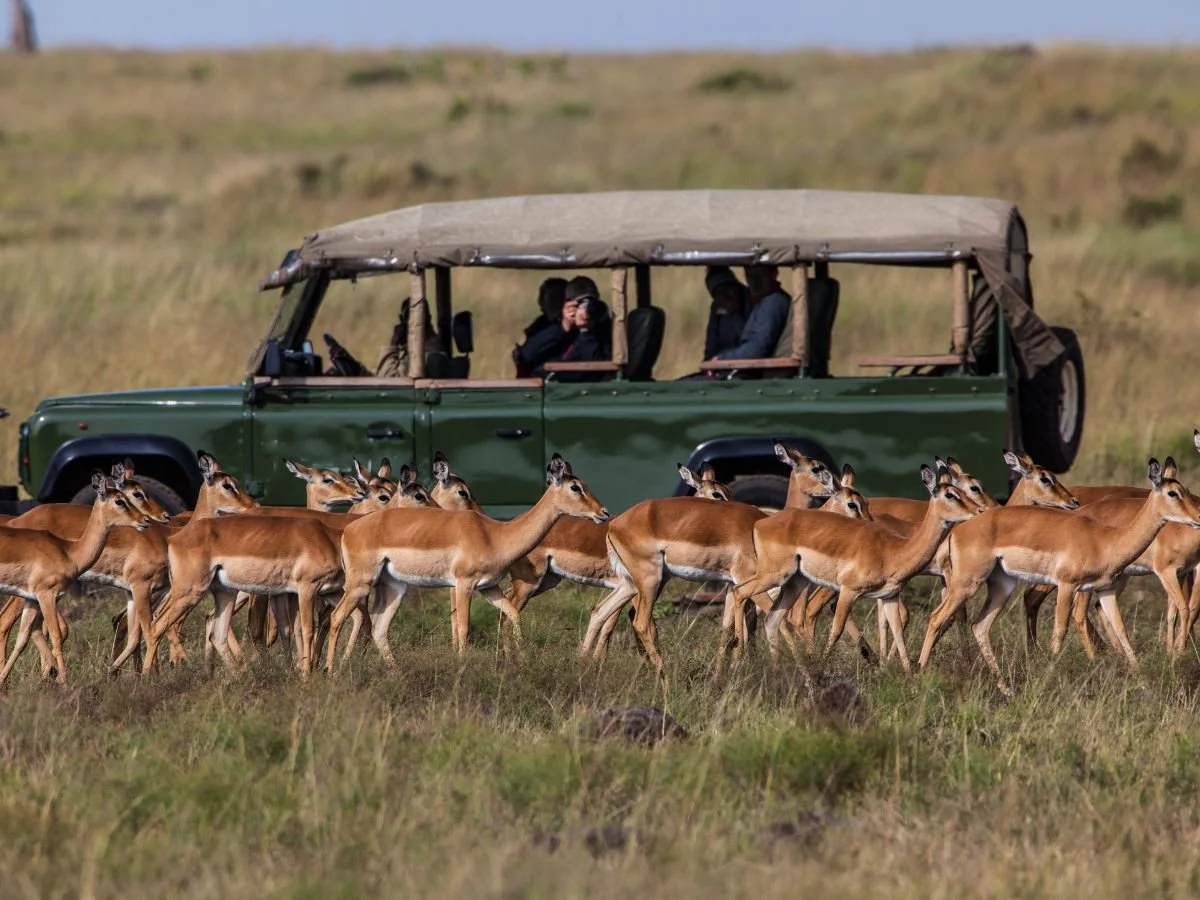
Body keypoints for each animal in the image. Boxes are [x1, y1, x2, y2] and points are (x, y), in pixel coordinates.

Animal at [0, 459, 178, 676]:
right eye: (136, 494)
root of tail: (15, 520)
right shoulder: (142, 587)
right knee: (7, 622)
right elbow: (149, 629)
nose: (163, 516)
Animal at [325, 454, 609, 670]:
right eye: (575, 487)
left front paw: (522, 659)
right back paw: (330, 671)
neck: (495, 534)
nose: (603, 513)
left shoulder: (489, 587)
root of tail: (349, 529)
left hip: (395, 587)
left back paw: (395, 672)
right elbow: (463, 628)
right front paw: (462, 667)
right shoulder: (463, 585)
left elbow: (512, 613)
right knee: (338, 616)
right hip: (360, 584)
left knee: (378, 628)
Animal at [727, 465, 983, 672]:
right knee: (740, 593)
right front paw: (822, 669)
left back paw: (778, 669)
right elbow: (836, 630)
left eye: (963, 491)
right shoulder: (849, 591)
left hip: (794, 582)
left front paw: (910, 675)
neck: (894, 549)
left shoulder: (890, 596)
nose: (979, 512)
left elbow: (899, 631)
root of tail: (760, 522)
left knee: (772, 618)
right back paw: (739, 659)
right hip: (775, 575)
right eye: (950, 494)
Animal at [918, 458, 1200, 694]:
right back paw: (919, 673)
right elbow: (1060, 630)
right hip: (968, 583)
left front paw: (1143, 682)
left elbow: (1122, 630)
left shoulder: (1105, 590)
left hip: (1002, 586)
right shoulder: (1067, 585)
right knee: (936, 617)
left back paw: (1005, 688)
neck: (1105, 539)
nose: (1197, 517)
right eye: (1173, 493)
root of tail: (958, 528)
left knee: (979, 626)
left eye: (1185, 490)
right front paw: (1050, 675)